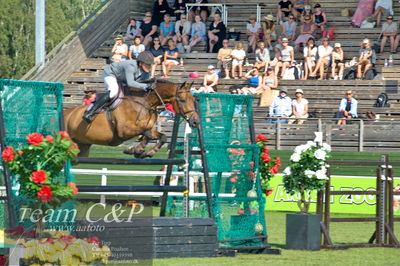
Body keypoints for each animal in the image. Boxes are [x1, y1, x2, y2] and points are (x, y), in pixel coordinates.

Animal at [64, 80, 200, 157]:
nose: (196, 122)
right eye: (182, 100)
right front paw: (136, 149)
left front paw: (147, 152)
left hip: (82, 147)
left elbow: (162, 137)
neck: (145, 103)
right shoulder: (124, 131)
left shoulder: (149, 128)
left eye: (194, 100)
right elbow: (146, 134)